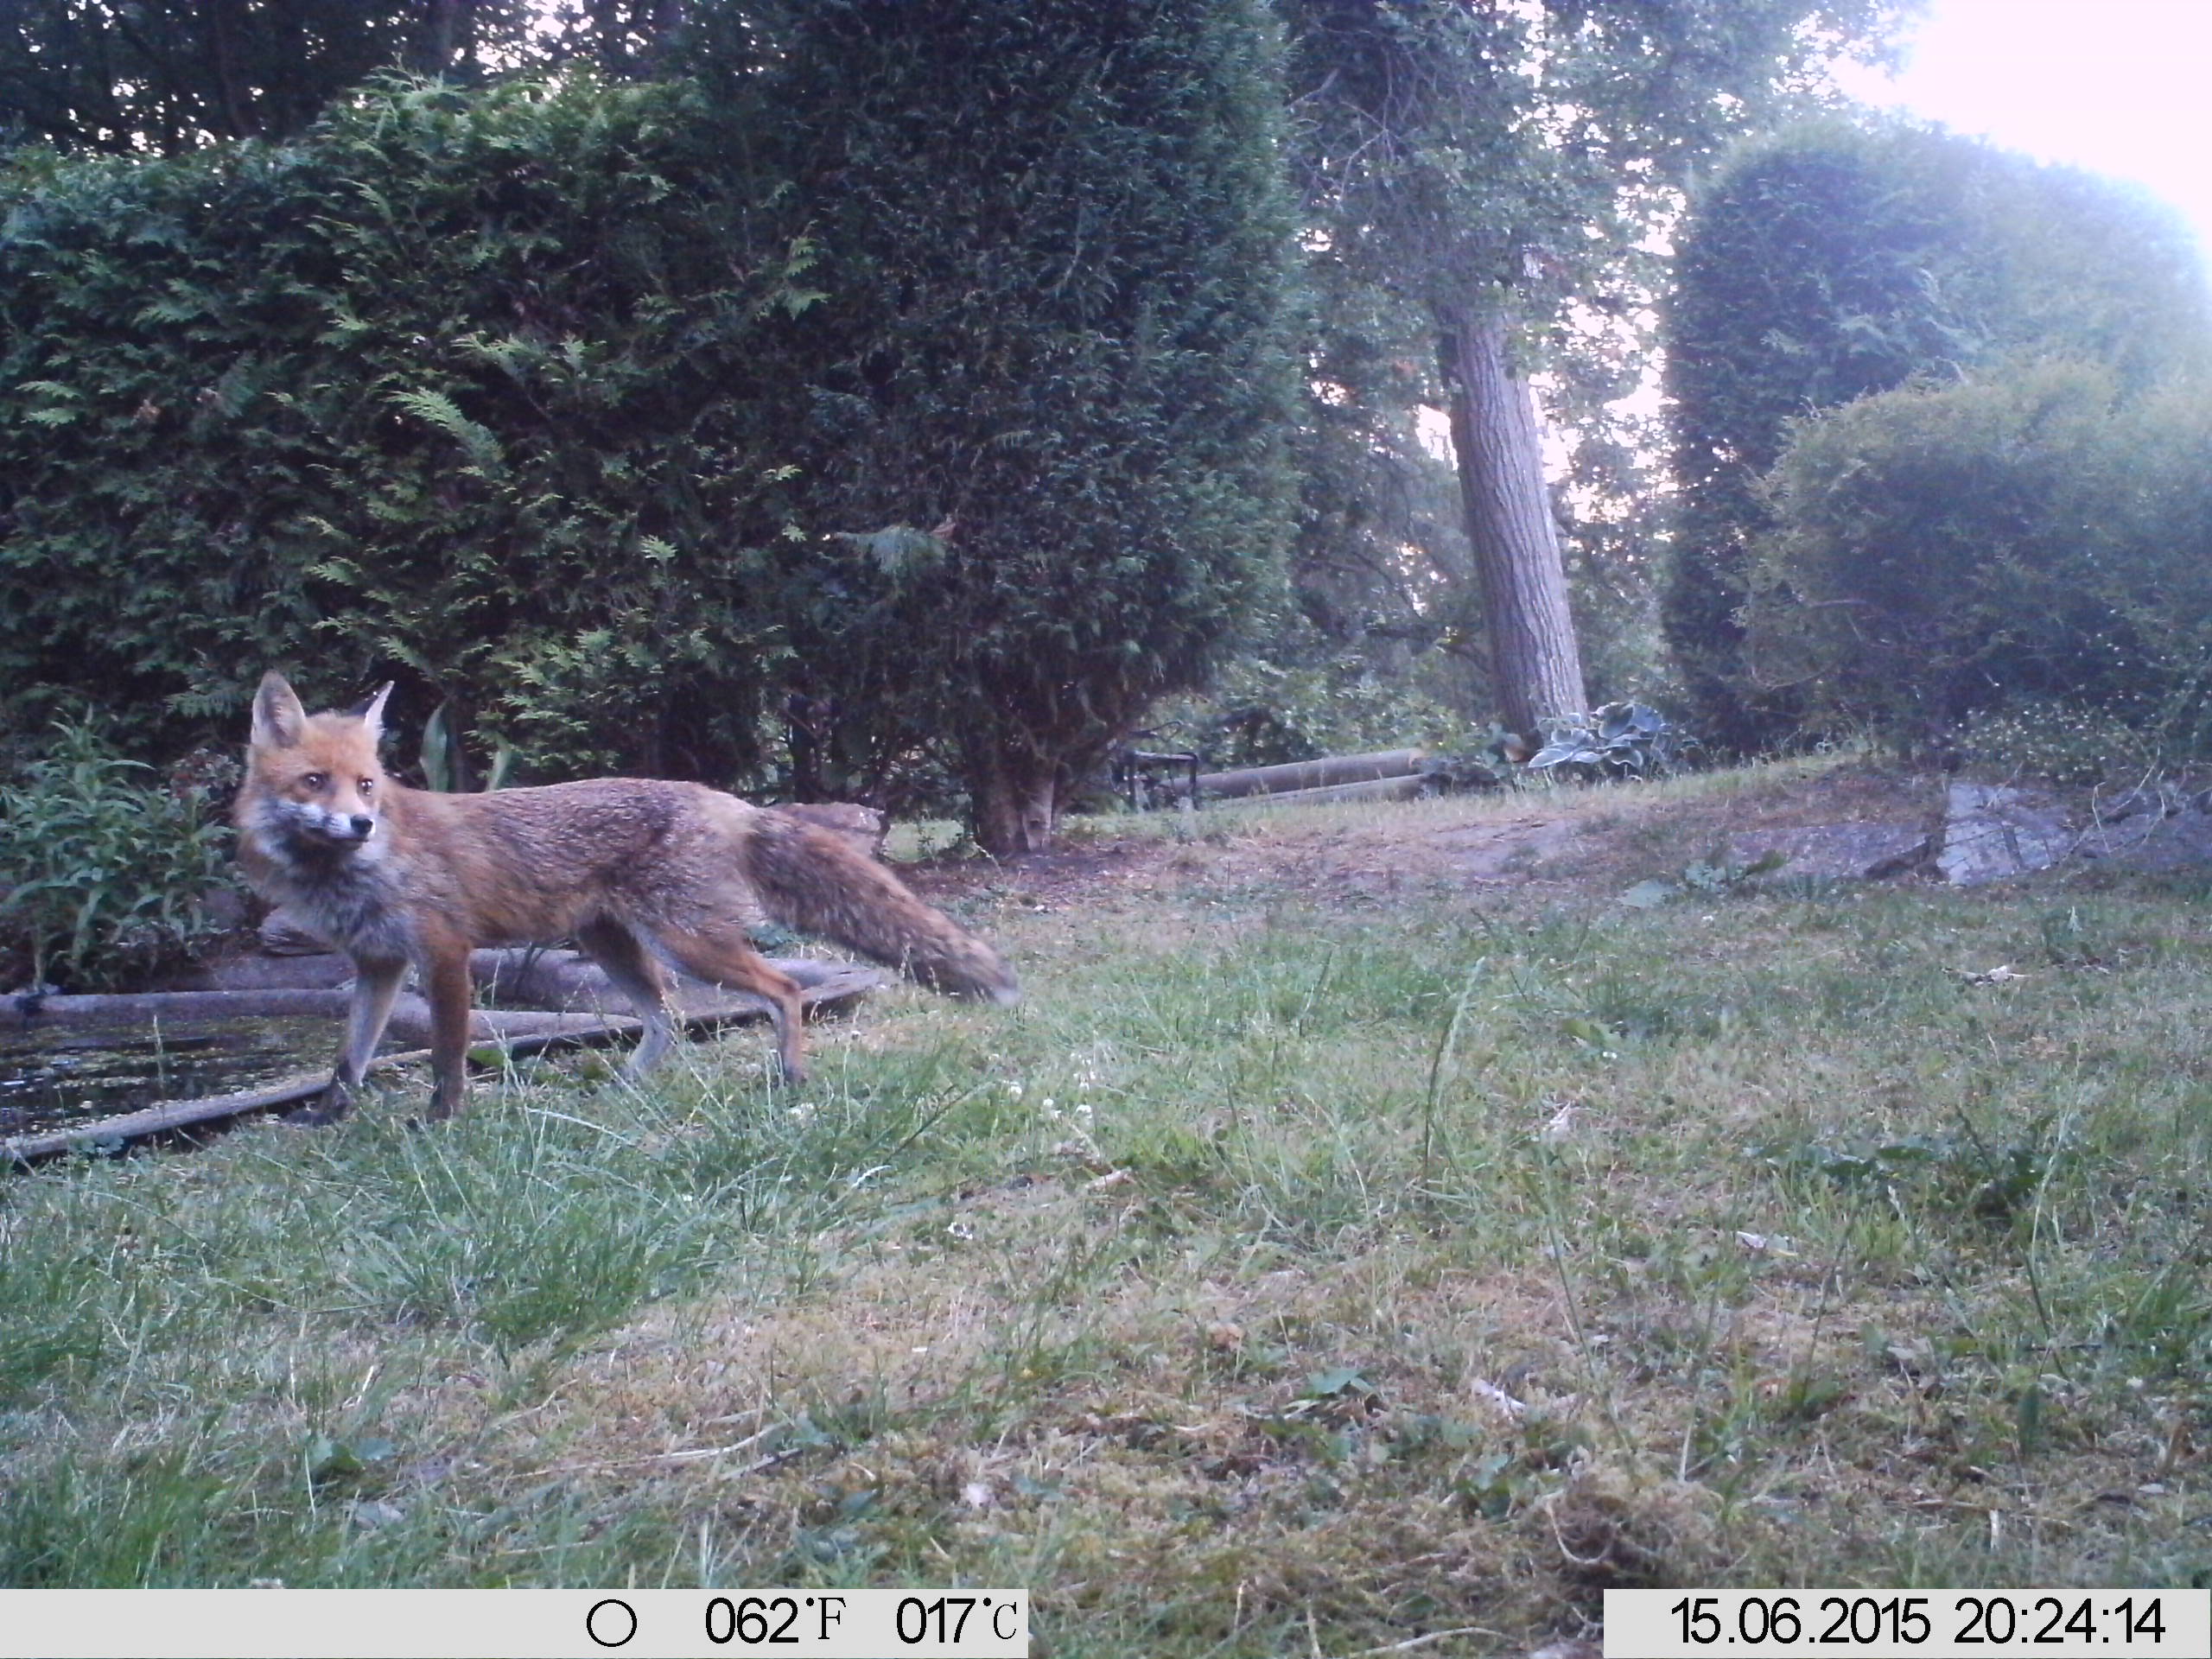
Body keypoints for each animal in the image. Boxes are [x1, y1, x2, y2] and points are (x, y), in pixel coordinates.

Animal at [235, 668, 1017, 1123]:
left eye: (367, 785)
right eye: (315, 783)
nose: (361, 823)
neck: (357, 870)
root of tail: (725, 799)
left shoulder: (444, 953)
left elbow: (447, 1057)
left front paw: (438, 1125)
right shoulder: (377, 965)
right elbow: (348, 1059)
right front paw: (324, 1119)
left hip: (689, 944)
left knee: (785, 990)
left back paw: (790, 1076)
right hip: (612, 945)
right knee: (665, 1019)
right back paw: (626, 1087)